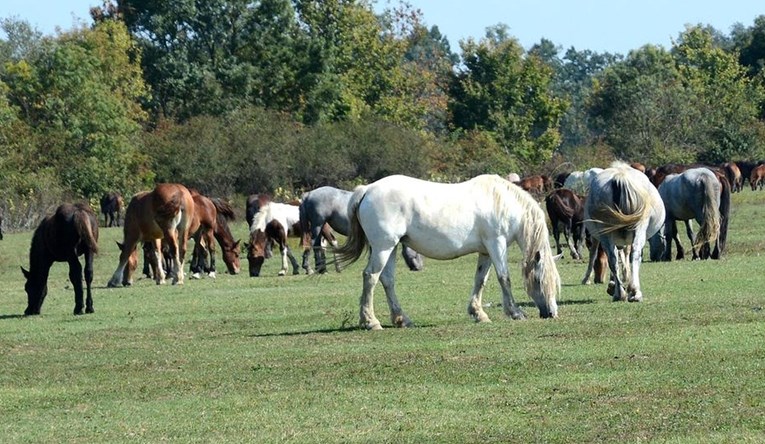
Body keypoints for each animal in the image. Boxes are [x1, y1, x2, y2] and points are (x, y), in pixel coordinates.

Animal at [296, 185, 424, 274]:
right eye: (418, 252)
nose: (419, 267)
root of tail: (308, 194)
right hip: (317, 225)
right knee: (313, 244)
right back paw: (314, 268)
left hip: (322, 227)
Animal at [334, 175, 560, 332]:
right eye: (538, 280)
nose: (551, 313)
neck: (503, 203)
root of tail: (367, 189)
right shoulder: (497, 244)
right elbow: (504, 278)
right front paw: (515, 312)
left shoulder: (486, 251)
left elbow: (481, 280)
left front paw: (478, 313)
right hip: (383, 247)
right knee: (371, 277)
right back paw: (370, 321)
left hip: (391, 248)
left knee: (387, 280)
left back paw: (402, 319)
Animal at [580, 161, 664, 304]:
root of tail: (620, 176)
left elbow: (613, 255)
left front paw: (614, 282)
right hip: (638, 227)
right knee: (633, 254)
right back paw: (632, 292)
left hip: (607, 232)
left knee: (613, 257)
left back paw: (620, 293)